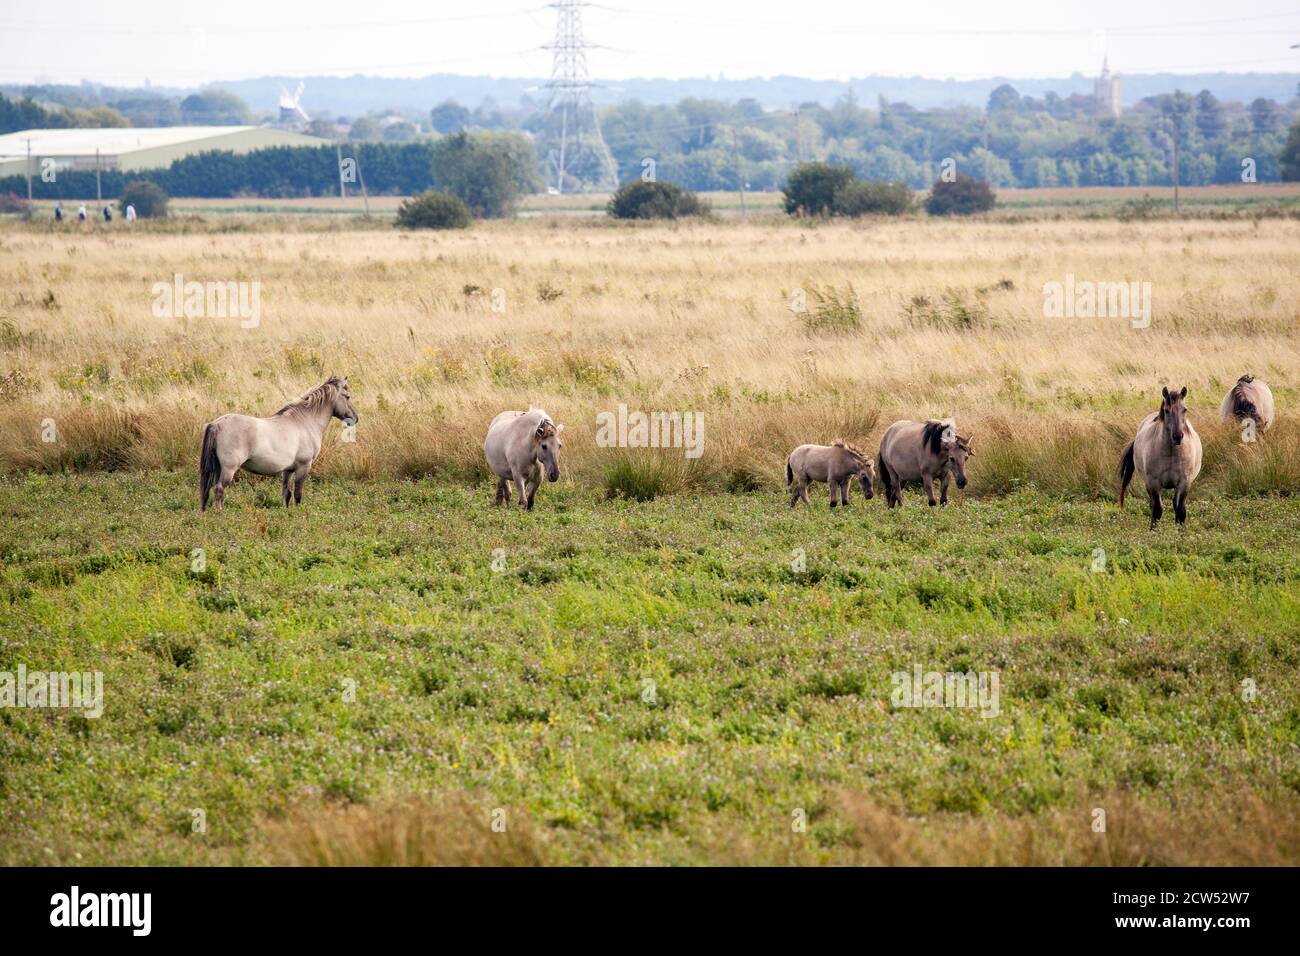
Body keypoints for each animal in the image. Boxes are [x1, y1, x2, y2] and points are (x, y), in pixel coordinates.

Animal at [199, 376, 358, 511]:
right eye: (347, 396)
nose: (355, 418)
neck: (304, 422)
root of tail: (216, 424)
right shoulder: (304, 466)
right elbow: (298, 494)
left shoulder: (288, 470)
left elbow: (286, 494)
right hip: (229, 469)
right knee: (219, 489)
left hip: (219, 468)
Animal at [1119, 385, 1203, 529]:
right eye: (1166, 411)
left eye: (1184, 409)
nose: (1177, 436)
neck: (1171, 453)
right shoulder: (1154, 483)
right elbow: (1157, 509)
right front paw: (1154, 530)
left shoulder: (1184, 482)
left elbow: (1180, 510)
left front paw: (1180, 531)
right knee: (1153, 504)